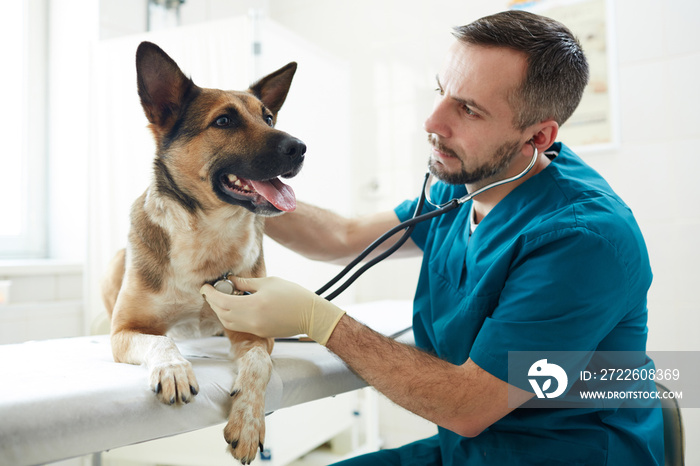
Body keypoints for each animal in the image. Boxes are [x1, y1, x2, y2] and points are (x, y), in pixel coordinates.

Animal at [102, 41, 306, 464]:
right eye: (224, 121)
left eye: (268, 117)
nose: (300, 148)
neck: (208, 234)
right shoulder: (125, 331)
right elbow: (161, 340)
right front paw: (173, 369)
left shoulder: (254, 329)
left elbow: (259, 363)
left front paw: (248, 422)